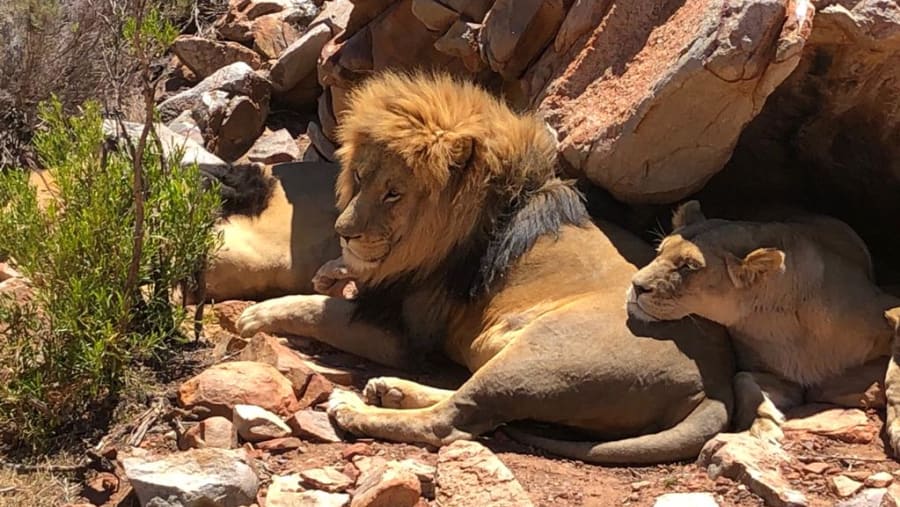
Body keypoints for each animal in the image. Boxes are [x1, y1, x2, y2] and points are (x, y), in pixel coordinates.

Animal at [234, 71, 735, 464]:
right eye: (359, 177)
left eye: (394, 193)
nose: (344, 230)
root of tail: (718, 381)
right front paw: (333, 269)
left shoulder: (402, 332)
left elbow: (316, 308)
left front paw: (258, 314)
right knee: (465, 399)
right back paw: (390, 390)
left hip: (542, 355)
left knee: (451, 422)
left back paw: (357, 408)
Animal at [629, 200, 900, 450]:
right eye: (659, 251)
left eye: (689, 266)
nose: (636, 285)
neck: (776, 320)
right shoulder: (786, 378)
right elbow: (743, 380)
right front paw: (763, 425)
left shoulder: (886, 306)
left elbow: (895, 372)